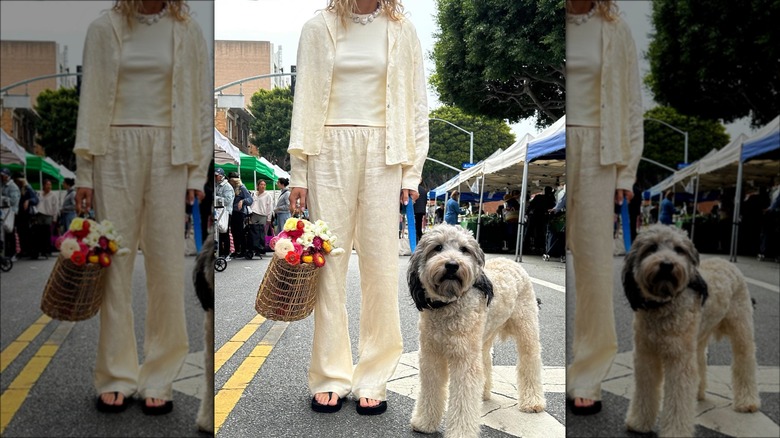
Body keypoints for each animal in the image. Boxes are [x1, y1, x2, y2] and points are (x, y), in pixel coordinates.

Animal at [408, 226, 544, 438]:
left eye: (464, 249)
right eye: (437, 247)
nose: (452, 265)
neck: (449, 305)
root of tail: (511, 261)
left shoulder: (464, 361)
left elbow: (463, 400)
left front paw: (460, 432)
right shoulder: (431, 357)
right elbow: (431, 391)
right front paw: (424, 422)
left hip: (526, 329)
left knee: (530, 360)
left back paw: (533, 401)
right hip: (483, 339)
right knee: (486, 360)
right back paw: (483, 392)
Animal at [620, 224, 760, 436]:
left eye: (679, 250)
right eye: (651, 248)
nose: (667, 264)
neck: (664, 305)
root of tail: (727, 262)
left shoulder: (679, 361)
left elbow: (678, 400)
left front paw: (675, 432)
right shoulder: (645, 356)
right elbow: (645, 391)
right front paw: (639, 423)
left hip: (741, 330)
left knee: (745, 361)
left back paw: (747, 401)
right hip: (698, 339)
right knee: (701, 361)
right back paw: (698, 392)